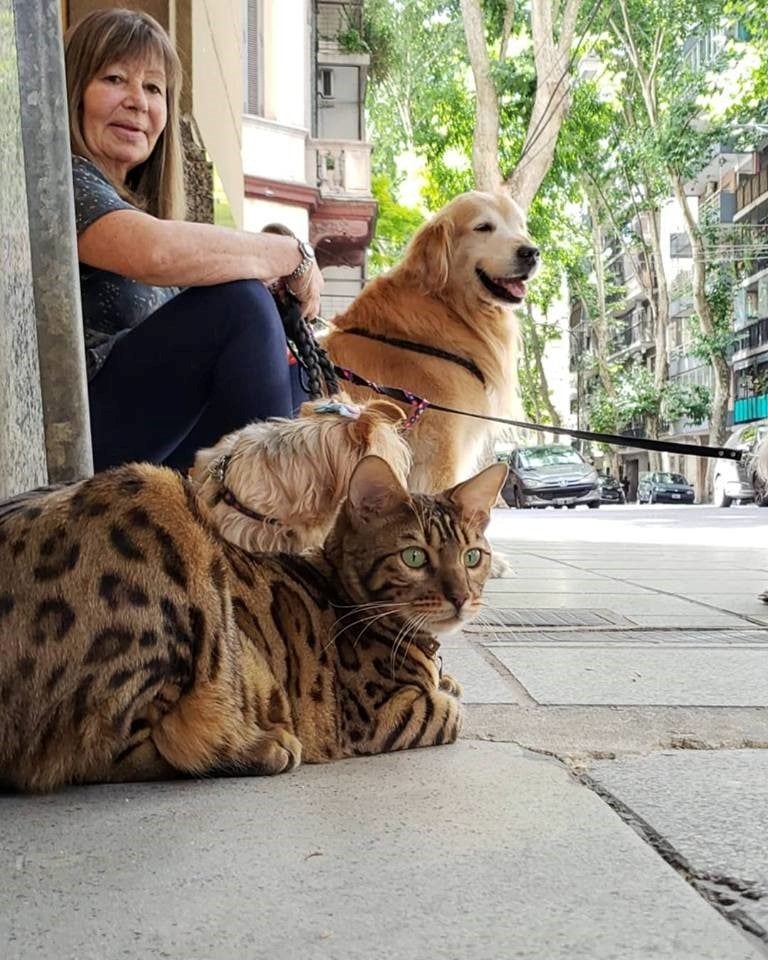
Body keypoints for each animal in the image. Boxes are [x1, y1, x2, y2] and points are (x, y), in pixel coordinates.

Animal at [0, 454, 508, 792]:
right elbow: (449, 710)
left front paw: (448, 677)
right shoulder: (381, 715)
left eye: (472, 556)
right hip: (162, 500)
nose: (462, 597)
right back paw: (260, 746)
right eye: (414, 557)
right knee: (121, 749)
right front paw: (447, 692)